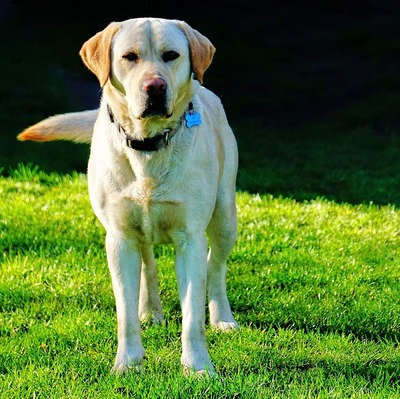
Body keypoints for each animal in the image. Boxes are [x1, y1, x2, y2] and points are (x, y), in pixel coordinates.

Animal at [18, 17, 238, 376]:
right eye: (129, 57)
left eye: (171, 55)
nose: (155, 87)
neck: (148, 146)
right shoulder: (119, 237)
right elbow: (125, 314)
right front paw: (128, 363)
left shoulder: (190, 237)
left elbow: (192, 315)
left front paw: (198, 367)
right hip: (138, 230)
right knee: (148, 263)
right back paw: (149, 311)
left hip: (225, 216)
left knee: (215, 267)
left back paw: (223, 318)